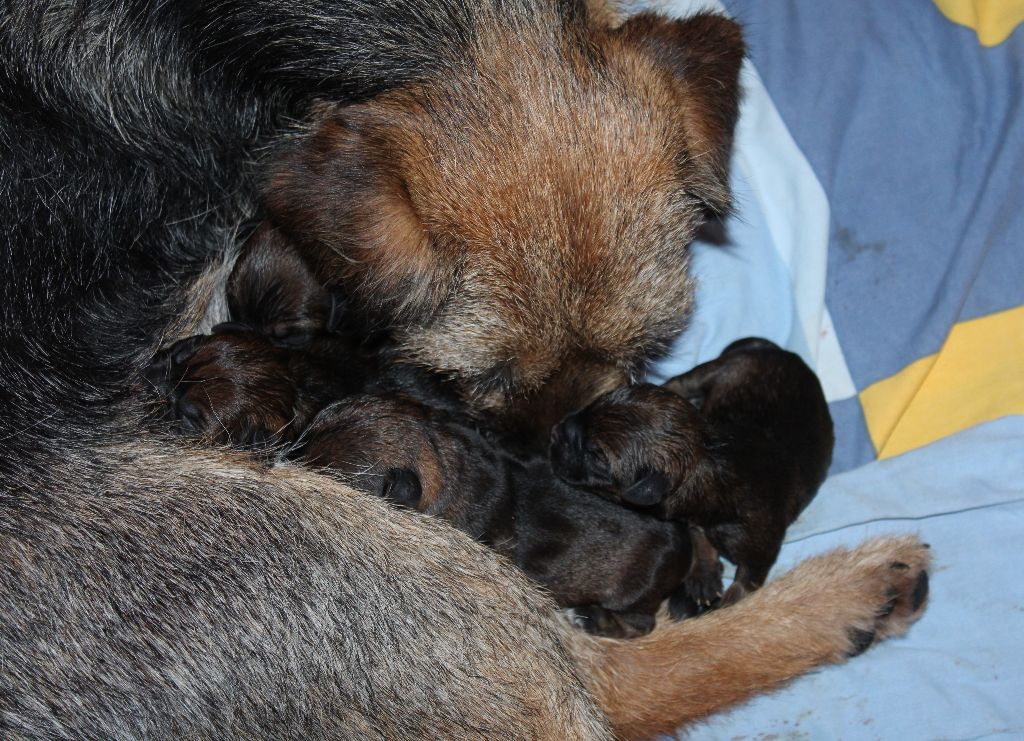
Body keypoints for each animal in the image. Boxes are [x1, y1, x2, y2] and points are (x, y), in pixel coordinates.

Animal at [552, 337, 831, 609]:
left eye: (595, 454)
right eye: (596, 403)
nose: (556, 431)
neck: (707, 461)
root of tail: (782, 352)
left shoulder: (758, 552)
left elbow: (743, 585)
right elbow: (698, 537)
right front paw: (703, 576)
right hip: (711, 372)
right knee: (680, 382)